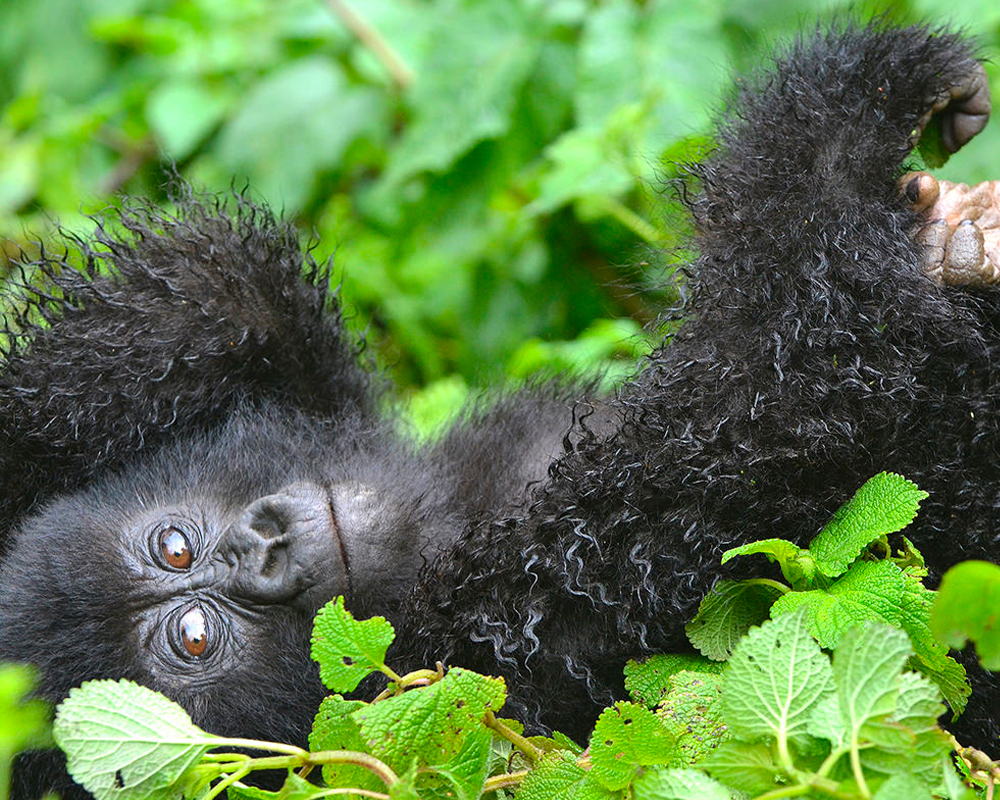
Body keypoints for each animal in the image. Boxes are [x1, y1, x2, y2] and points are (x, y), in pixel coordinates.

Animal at [1, 21, 1000, 800]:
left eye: (175, 545)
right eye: (195, 638)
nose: (267, 545)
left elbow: (185, 312)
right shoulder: (492, 648)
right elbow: (772, 397)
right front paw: (859, 91)